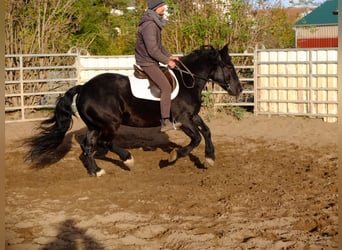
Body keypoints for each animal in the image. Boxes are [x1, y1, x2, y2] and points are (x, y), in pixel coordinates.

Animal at [25, 44, 242, 176]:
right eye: (228, 67)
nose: (239, 89)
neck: (186, 80)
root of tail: (84, 87)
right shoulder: (183, 120)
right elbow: (196, 138)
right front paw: (172, 157)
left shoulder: (192, 116)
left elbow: (207, 131)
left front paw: (210, 158)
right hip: (110, 123)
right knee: (104, 143)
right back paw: (127, 159)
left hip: (95, 126)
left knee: (88, 146)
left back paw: (96, 171)